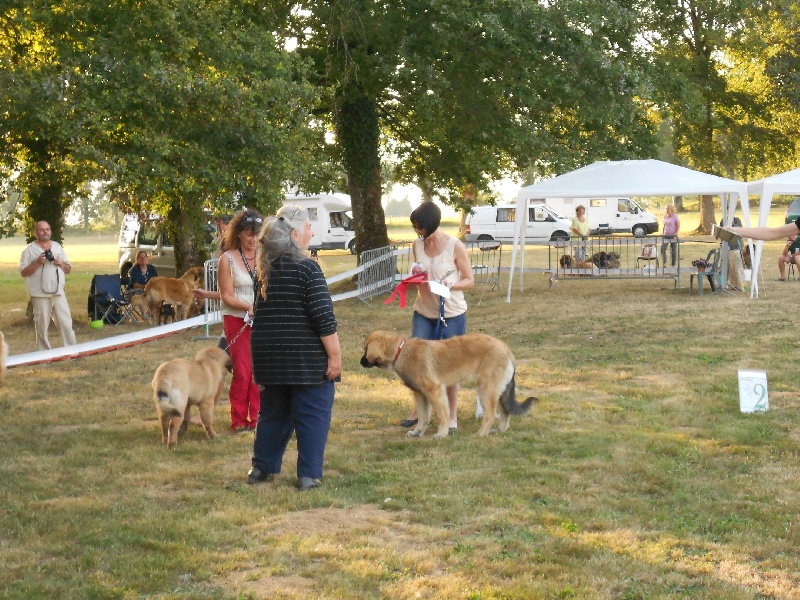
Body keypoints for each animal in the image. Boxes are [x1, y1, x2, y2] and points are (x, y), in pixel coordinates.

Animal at [360, 330, 536, 438]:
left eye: (365, 349)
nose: (360, 362)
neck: (400, 351)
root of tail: (507, 349)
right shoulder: (420, 395)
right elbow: (423, 417)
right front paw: (417, 432)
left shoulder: (435, 391)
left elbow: (442, 415)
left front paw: (441, 433)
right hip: (498, 391)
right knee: (505, 412)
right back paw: (499, 431)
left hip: (486, 390)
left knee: (491, 414)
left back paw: (481, 434)